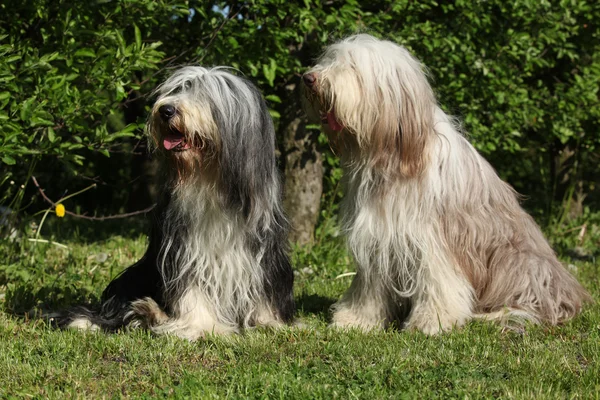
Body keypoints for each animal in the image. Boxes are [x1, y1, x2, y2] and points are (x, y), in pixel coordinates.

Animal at [61, 66, 296, 340]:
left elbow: (264, 287)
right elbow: (191, 287)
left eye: (206, 96)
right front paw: (204, 326)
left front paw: (270, 322)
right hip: (134, 277)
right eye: (177, 89)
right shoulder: (184, 249)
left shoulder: (264, 247)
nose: (166, 110)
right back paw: (147, 312)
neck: (211, 181)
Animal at [304, 34, 592, 334]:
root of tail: (568, 294)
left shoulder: (431, 237)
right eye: (329, 60)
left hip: (519, 264)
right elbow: (370, 287)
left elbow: (439, 281)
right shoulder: (376, 236)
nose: (308, 78)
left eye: (350, 66)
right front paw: (356, 319)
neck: (392, 156)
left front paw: (432, 321)